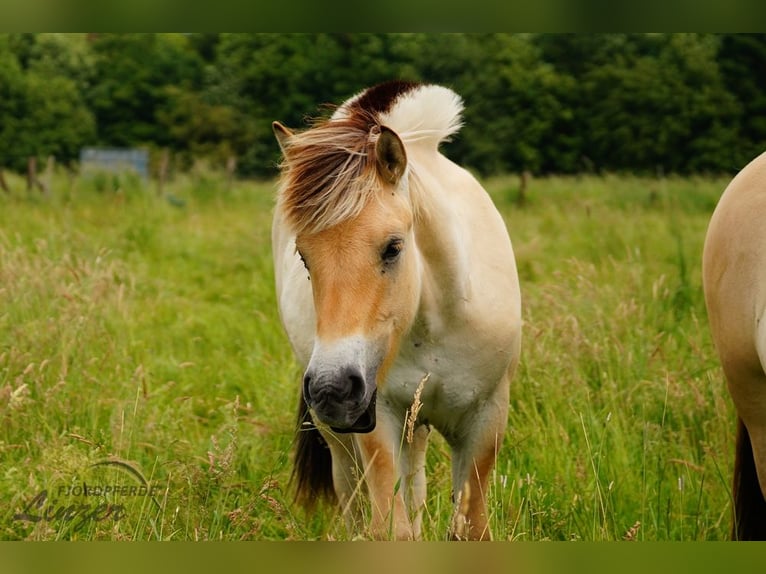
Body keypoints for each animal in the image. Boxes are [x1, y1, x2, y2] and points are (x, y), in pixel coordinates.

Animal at [271, 81, 522, 540]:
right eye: (303, 257)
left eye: (393, 247)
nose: (333, 387)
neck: (435, 323)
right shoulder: (377, 418)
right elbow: (393, 528)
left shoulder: (487, 418)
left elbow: (469, 527)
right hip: (341, 437)